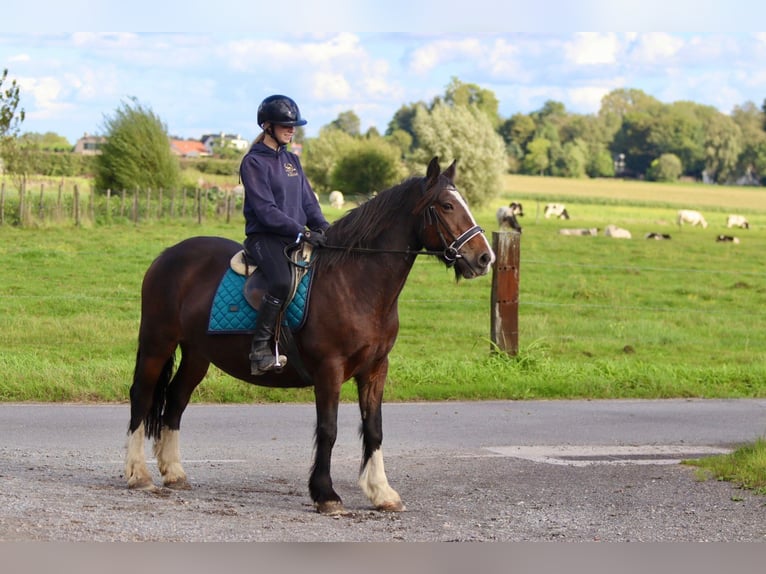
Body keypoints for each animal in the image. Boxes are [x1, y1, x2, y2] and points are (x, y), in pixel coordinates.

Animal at [124, 156, 498, 516]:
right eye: (446, 206)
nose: (484, 258)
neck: (355, 283)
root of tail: (167, 256)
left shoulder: (376, 368)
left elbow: (374, 428)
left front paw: (382, 492)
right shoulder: (329, 369)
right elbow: (328, 430)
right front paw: (326, 495)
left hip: (197, 354)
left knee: (175, 401)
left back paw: (174, 473)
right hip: (158, 343)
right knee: (142, 396)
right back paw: (139, 475)